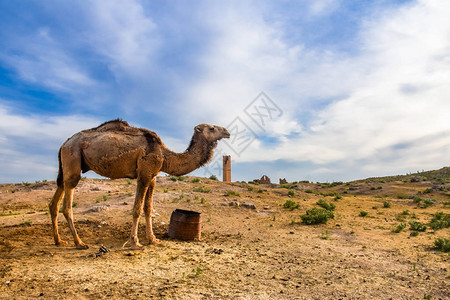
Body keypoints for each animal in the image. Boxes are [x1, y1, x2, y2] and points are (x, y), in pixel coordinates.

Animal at [50, 119, 229, 248]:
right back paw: (79, 243)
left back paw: (59, 241)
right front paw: (135, 242)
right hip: (73, 157)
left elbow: (148, 209)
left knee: (55, 200)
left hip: (67, 165)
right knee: (67, 205)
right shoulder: (144, 173)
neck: (165, 156)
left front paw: (153, 239)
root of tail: (64, 143)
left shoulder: (153, 176)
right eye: (211, 128)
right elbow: (137, 209)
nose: (226, 132)